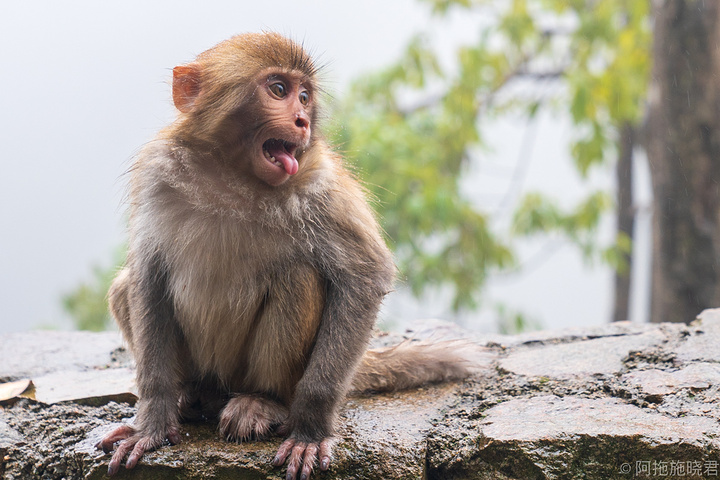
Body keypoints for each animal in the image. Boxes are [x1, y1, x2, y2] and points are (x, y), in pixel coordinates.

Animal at [97, 31, 478, 478]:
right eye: (279, 90)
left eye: (305, 96)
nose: (302, 121)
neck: (234, 176)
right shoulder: (156, 174)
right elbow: (148, 274)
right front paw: (152, 419)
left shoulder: (322, 186)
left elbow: (365, 277)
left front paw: (310, 428)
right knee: (125, 288)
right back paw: (188, 394)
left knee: (297, 276)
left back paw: (265, 402)